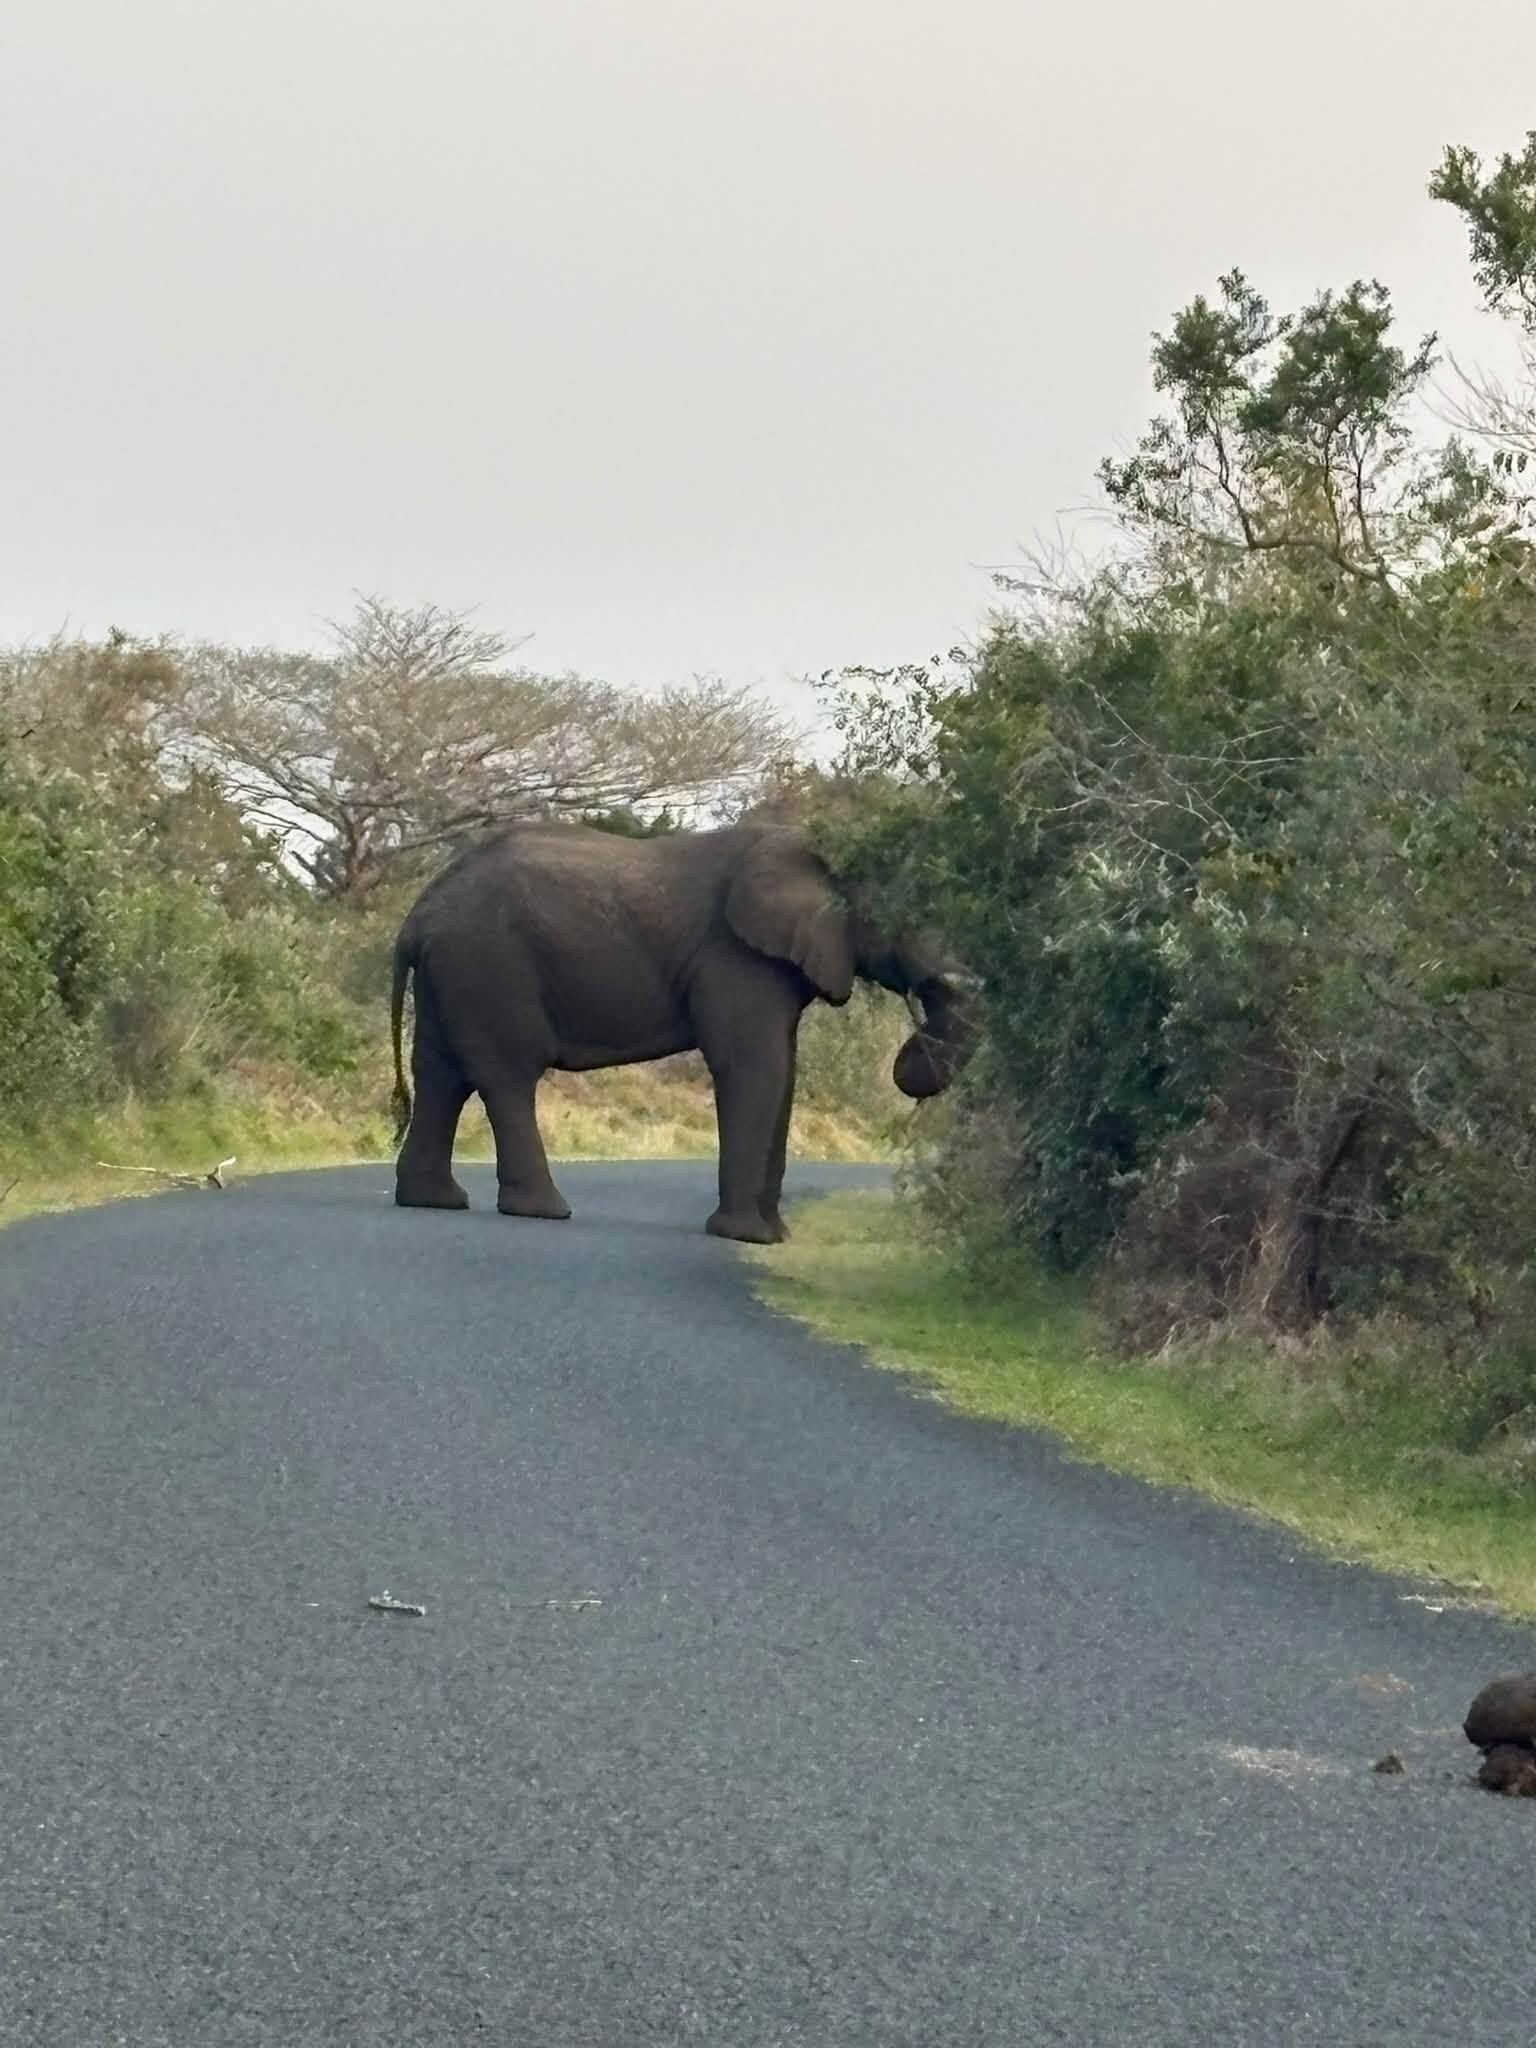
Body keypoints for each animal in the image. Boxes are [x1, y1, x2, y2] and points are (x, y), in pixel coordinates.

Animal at [388, 818, 975, 1243]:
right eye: (912, 910)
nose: (910, 1061)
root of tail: (417, 913)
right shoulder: (733, 958)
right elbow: (754, 1067)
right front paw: (746, 1239)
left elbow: (782, 1073)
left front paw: (774, 1238)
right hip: (490, 965)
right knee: (506, 1076)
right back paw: (545, 1212)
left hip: (456, 970)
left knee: (442, 1075)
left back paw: (435, 1201)